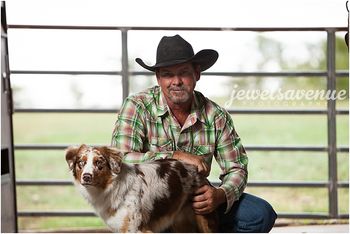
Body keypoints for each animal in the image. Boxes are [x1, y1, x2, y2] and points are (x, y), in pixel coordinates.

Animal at [65, 144, 217, 232]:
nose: (86, 177)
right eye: (81, 163)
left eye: (99, 163)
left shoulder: (135, 228)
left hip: (204, 217)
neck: (112, 186)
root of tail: (195, 169)